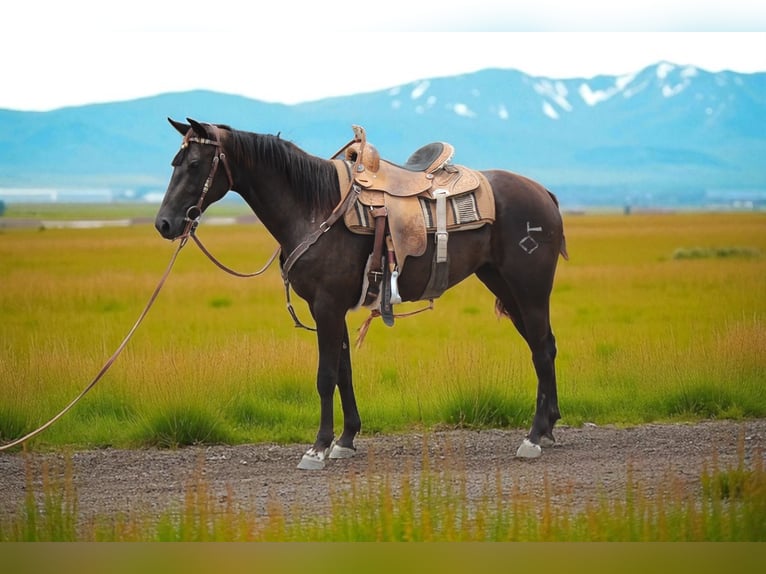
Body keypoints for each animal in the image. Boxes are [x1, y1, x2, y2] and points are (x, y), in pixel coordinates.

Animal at [155, 118, 569, 470]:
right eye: (174, 162)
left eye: (194, 164)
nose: (164, 224)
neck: (313, 207)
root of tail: (543, 193)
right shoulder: (331, 307)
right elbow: (344, 371)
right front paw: (345, 440)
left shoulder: (326, 306)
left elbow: (325, 376)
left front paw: (317, 448)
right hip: (504, 285)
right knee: (544, 346)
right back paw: (548, 428)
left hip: (529, 287)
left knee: (541, 349)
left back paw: (534, 438)